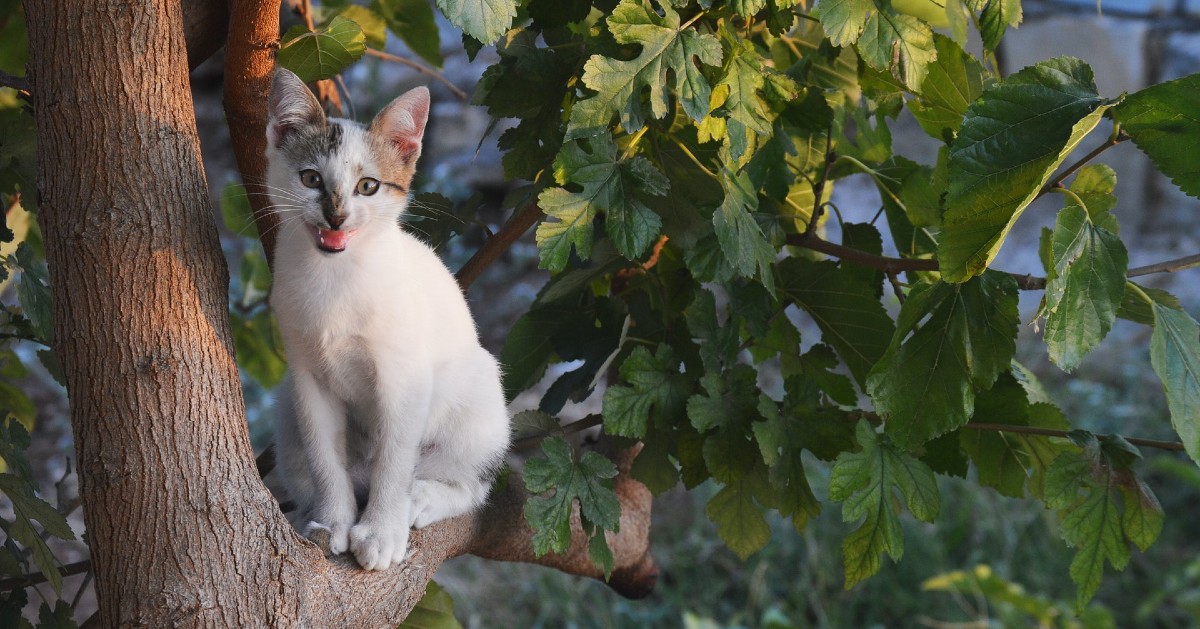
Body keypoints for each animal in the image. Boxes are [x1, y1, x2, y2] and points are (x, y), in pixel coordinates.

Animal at [265, 67, 508, 568]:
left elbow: (395, 459)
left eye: (368, 186)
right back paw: (314, 512)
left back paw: (422, 497)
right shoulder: (305, 375)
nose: (336, 216)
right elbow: (324, 456)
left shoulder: (404, 377)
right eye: (311, 178)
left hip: (477, 398)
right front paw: (333, 521)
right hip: (285, 409)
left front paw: (381, 532)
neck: (336, 276)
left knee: (472, 484)